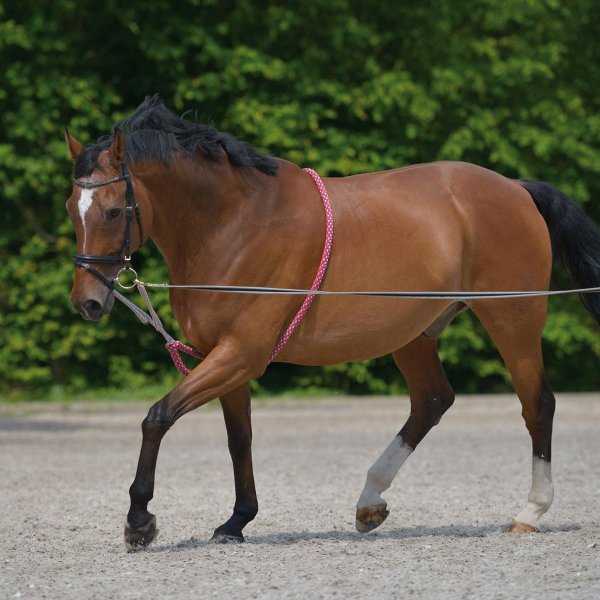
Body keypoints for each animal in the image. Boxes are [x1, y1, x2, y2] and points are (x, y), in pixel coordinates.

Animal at [65, 97, 600, 548]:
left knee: (537, 405)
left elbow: (157, 417)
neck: (234, 223)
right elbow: (240, 439)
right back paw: (369, 503)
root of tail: (516, 189)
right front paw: (236, 521)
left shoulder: (240, 354)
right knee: (432, 401)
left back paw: (530, 512)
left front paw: (139, 522)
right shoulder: (226, 358)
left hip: (513, 320)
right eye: (73, 209)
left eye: (113, 210)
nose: (87, 301)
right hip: (413, 334)